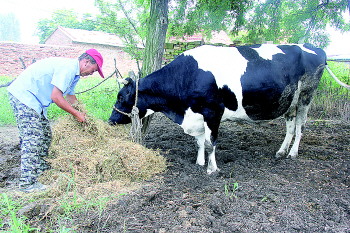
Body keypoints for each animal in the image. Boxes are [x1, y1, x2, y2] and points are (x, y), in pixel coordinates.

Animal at [108, 44, 326, 175]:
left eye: (121, 96)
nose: (110, 120)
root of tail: (313, 47)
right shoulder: (197, 115)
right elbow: (199, 142)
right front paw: (199, 162)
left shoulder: (213, 112)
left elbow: (210, 143)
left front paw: (212, 169)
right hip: (289, 101)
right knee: (290, 127)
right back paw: (281, 152)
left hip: (306, 96)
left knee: (300, 126)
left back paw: (293, 153)